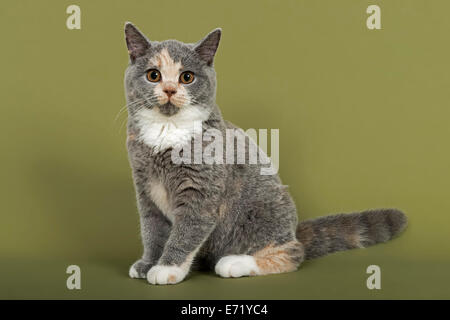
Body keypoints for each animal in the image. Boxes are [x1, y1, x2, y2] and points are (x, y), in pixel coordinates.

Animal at [123, 23, 408, 284]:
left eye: (187, 77)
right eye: (153, 75)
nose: (170, 90)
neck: (166, 133)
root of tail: (293, 231)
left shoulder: (201, 192)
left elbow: (186, 232)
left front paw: (167, 268)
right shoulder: (145, 188)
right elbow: (153, 231)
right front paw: (149, 263)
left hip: (264, 211)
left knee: (292, 252)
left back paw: (236, 262)